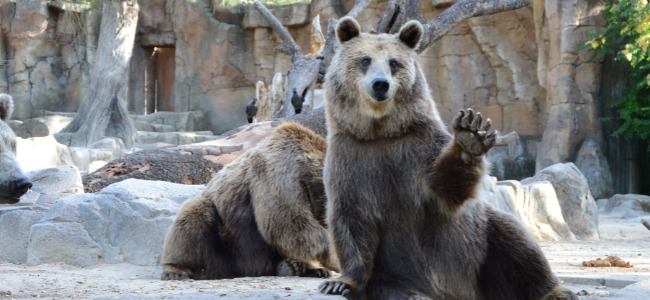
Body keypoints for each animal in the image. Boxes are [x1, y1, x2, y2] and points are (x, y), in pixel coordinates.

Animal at [159, 121, 336, 278]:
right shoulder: (280, 172)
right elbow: (286, 222)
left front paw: (318, 267)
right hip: (226, 246)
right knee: (193, 214)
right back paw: (176, 270)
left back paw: (305, 268)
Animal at [316, 18, 576, 300]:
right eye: (365, 60)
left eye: (394, 62)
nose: (380, 84)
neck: (381, 131)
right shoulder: (352, 158)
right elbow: (351, 218)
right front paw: (340, 283)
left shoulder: (418, 149)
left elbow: (446, 190)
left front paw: (470, 135)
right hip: (394, 275)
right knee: (400, 290)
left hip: (482, 249)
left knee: (516, 242)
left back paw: (556, 291)